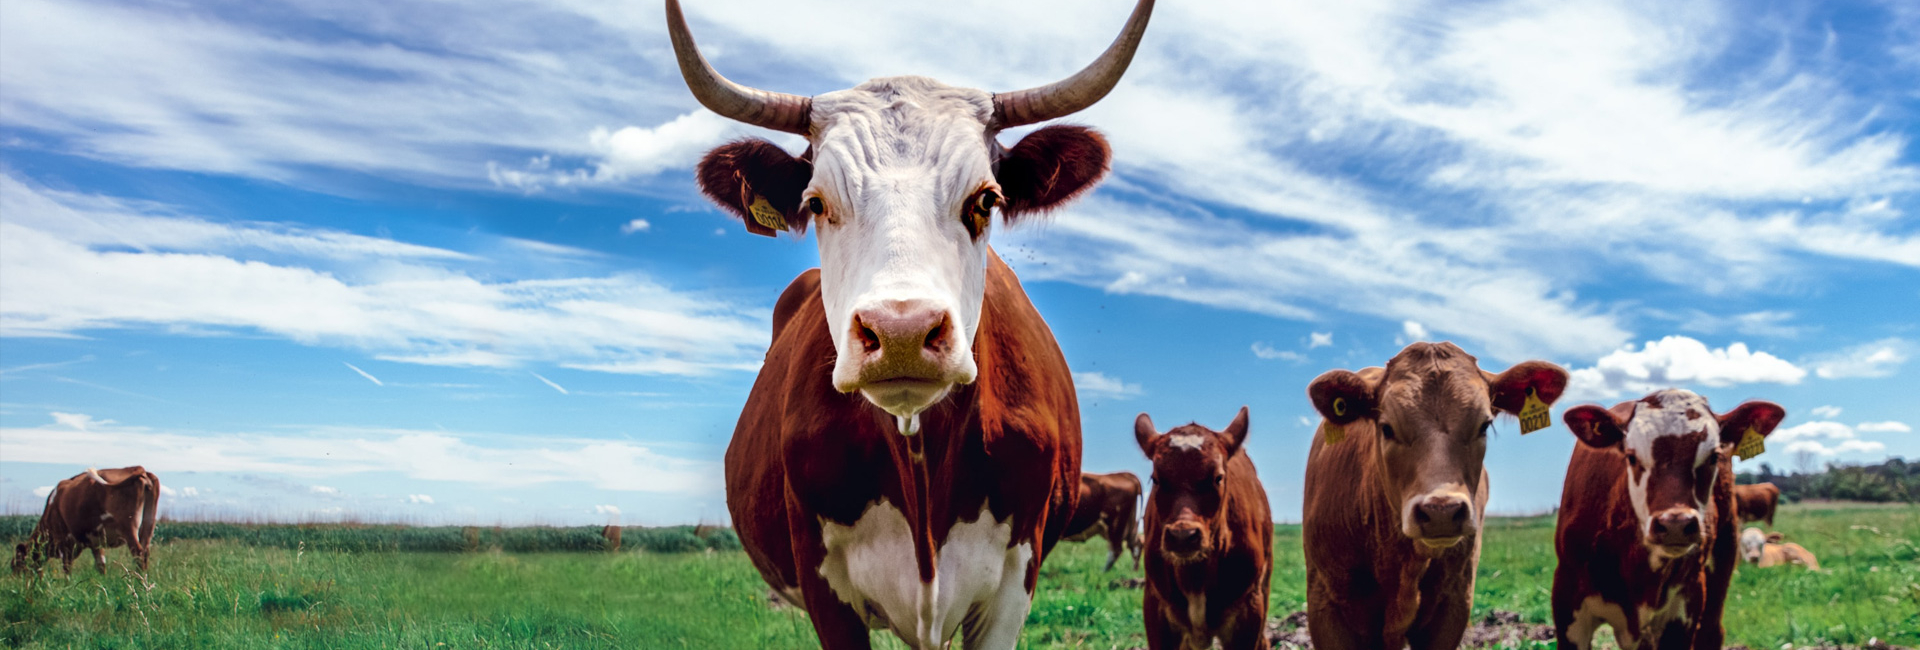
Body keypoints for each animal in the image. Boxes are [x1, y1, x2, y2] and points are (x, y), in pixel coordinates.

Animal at [12, 466, 160, 575]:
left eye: (18, 563)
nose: (16, 582)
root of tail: (139, 469)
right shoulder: (96, 543)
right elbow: (101, 566)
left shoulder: (66, 540)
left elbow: (67, 569)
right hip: (148, 526)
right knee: (145, 553)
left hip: (128, 529)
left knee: (139, 554)